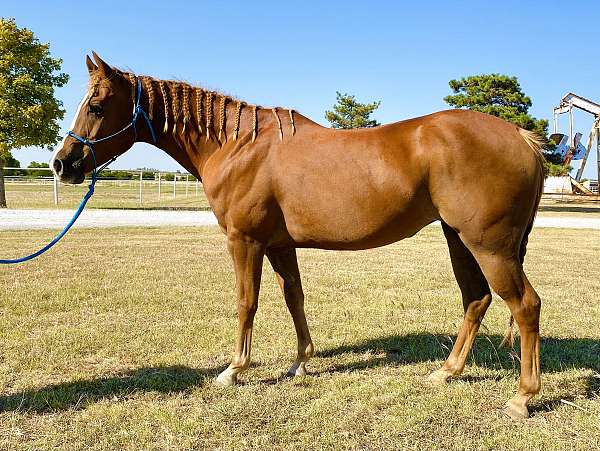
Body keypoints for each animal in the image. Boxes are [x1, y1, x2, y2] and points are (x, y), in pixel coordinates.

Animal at [52, 53, 544, 420]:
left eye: (96, 106)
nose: (63, 163)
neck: (238, 146)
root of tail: (521, 136)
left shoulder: (245, 241)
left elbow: (246, 302)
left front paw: (234, 370)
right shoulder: (279, 245)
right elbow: (295, 297)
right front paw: (301, 362)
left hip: (489, 245)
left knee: (524, 305)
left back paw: (522, 397)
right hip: (459, 238)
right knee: (476, 298)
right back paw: (446, 372)